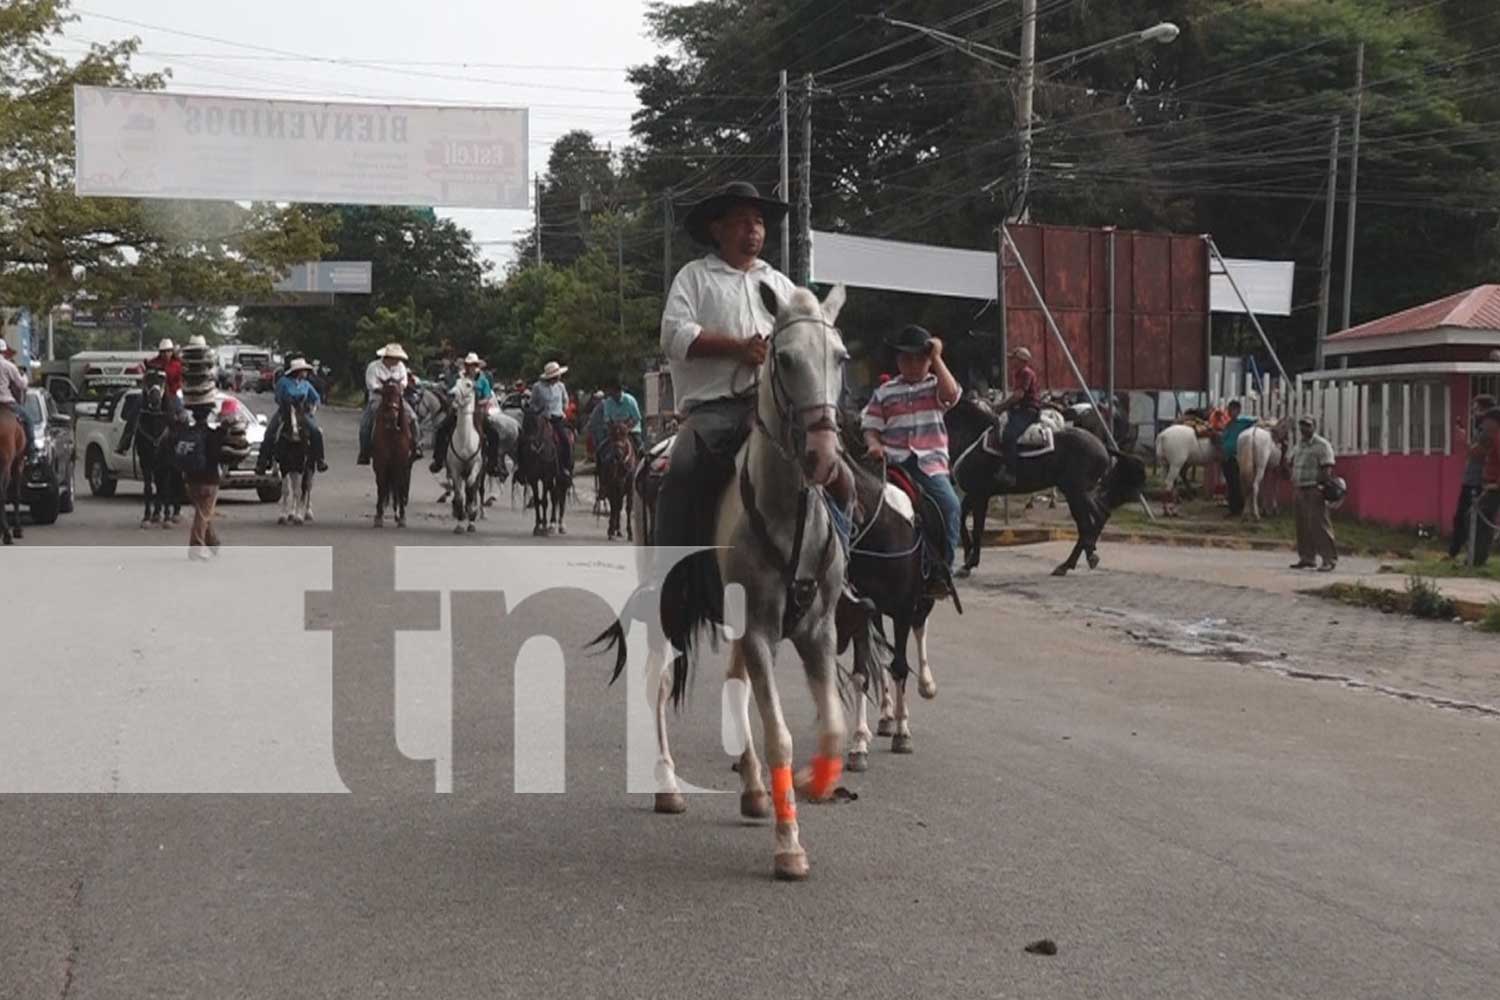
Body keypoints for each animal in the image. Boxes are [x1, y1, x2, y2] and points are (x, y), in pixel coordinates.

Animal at [373, 379, 417, 527]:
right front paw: (379, 516)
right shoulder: (381, 464)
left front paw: (402, 517)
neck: (392, 432)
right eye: (384, 394)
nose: (392, 417)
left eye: (399, 395)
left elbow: (400, 487)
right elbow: (381, 487)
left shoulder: (402, 464)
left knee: (398, 488)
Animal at [441, 373, 483, 530]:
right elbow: (459, 494)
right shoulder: (455, 469)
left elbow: (471, 488)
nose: (451, 394)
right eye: (456, 381)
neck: (465, 441)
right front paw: (460, 521)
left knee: (474, 489)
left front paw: (471, 519)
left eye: (469, 384)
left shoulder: (476, 466)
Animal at [591, 281, 852, 881]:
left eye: (840, 357)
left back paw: (754, 789)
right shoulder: (757, 628)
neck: (786, 512)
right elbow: (779, 734)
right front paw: (789, 846)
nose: (823, 456)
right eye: (785, 358)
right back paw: (667, 785)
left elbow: (831, 727)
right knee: (659, 680)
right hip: (665, 604)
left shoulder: (818, 630)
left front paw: (814, 782)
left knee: (733, 683)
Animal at [948, 392, 1146, 575]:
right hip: (1079, 492)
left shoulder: (980, 494)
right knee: (1093, 520)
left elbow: (977, 528)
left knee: (1092, 521)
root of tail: (1102, 446)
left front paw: (969, 563)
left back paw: (1081, 558)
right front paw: (967, 554)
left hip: (1077, 491)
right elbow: (961, 519)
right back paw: (1073, 561)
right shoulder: (973, 494)